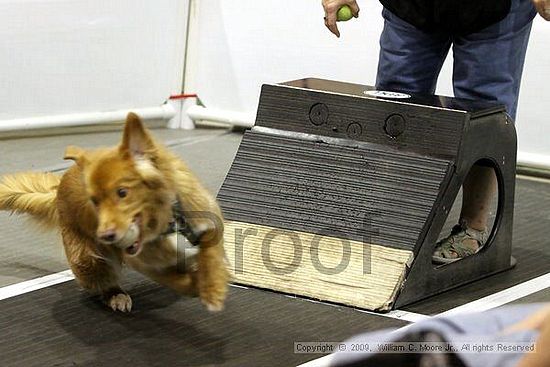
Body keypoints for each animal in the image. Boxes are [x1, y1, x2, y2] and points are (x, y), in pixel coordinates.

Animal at [0, 113, 229, 312]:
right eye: (95, 202)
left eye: (122, 192)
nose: (105, 235)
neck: (167, 222)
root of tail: (59, 186)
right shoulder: (140, 261)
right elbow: (175, 278)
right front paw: (196, 285)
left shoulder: (209, 220)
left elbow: (211, 252)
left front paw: (213, 287)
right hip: (87, 260)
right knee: (101, 281)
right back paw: (115, 295)